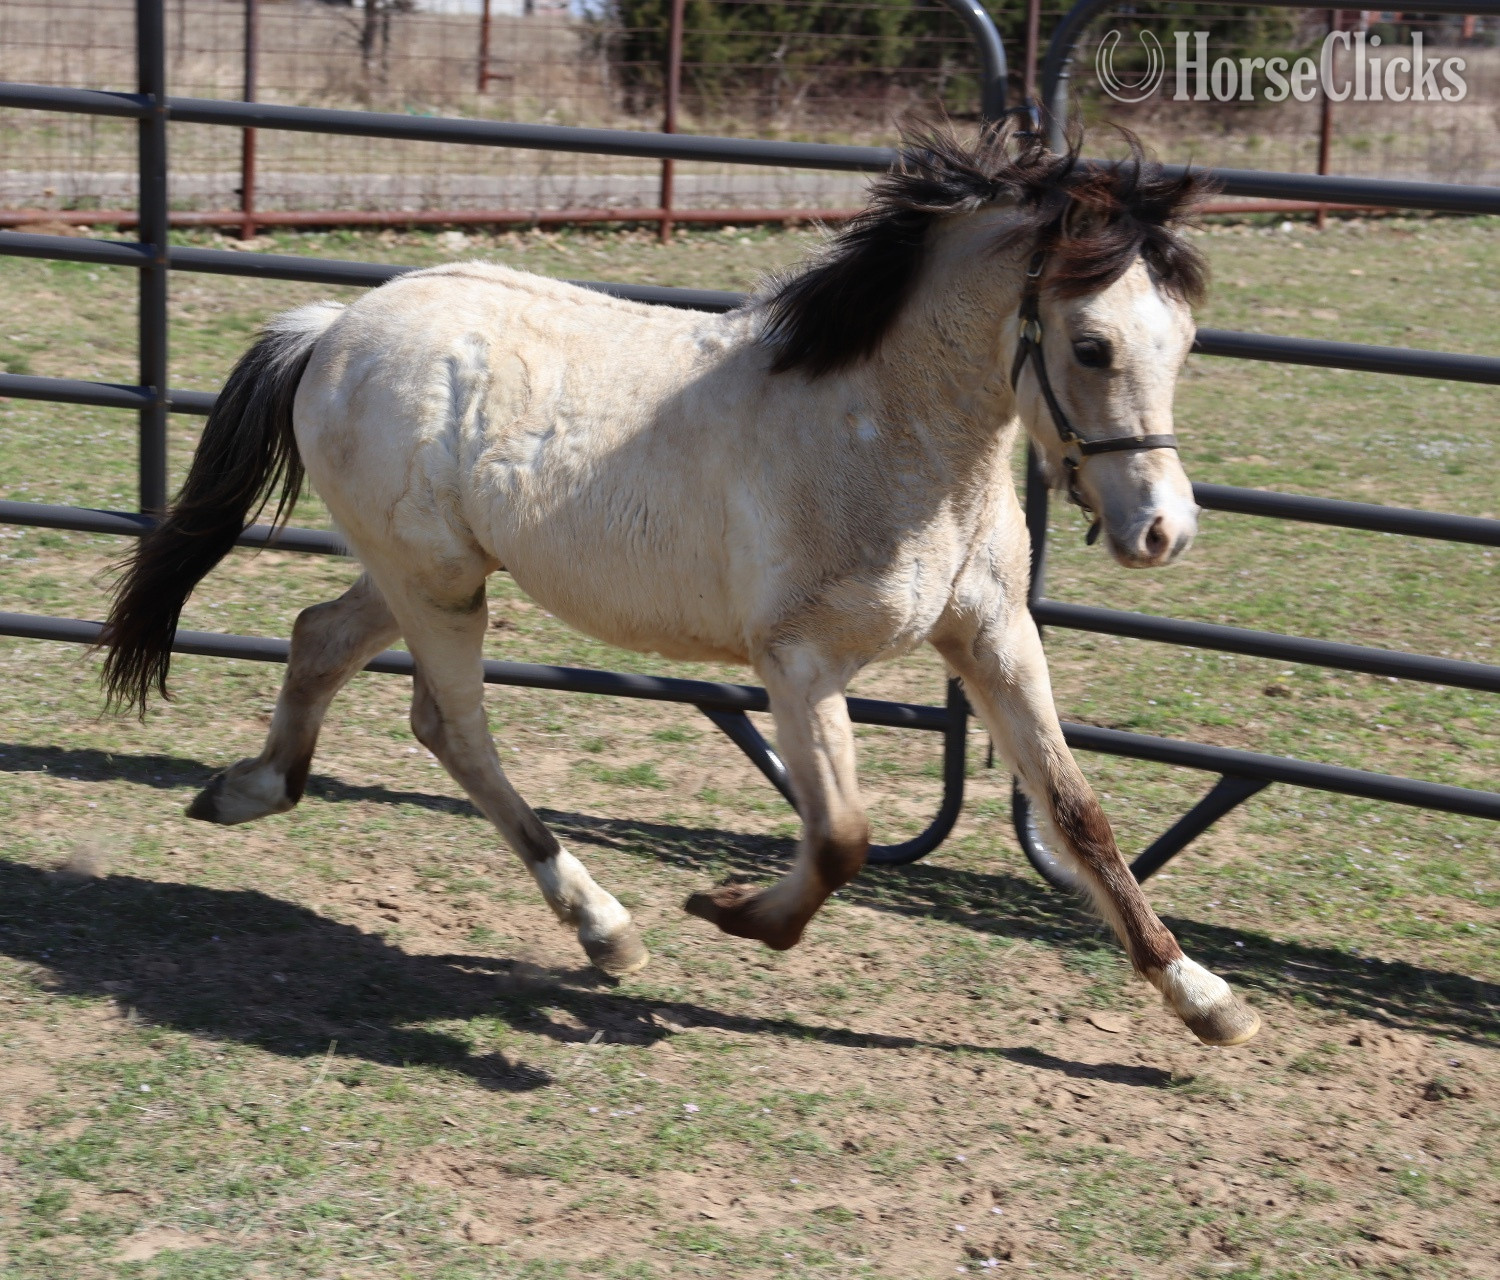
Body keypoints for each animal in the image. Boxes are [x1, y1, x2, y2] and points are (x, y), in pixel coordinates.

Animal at [99, 123, 1260, 1048]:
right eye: (1091, 344)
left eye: (1185, 341)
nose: (1163, 529)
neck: (885, 432)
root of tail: (335, 327)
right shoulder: (798, 662)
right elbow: (841, 836)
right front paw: (732, 909)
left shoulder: (993, 636)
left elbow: (1078, 812)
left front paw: (1207, 1000)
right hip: (437, 585)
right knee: (452, 725)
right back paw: (606, 928)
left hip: (424, 572)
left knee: (319, 637)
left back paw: (245, 790)